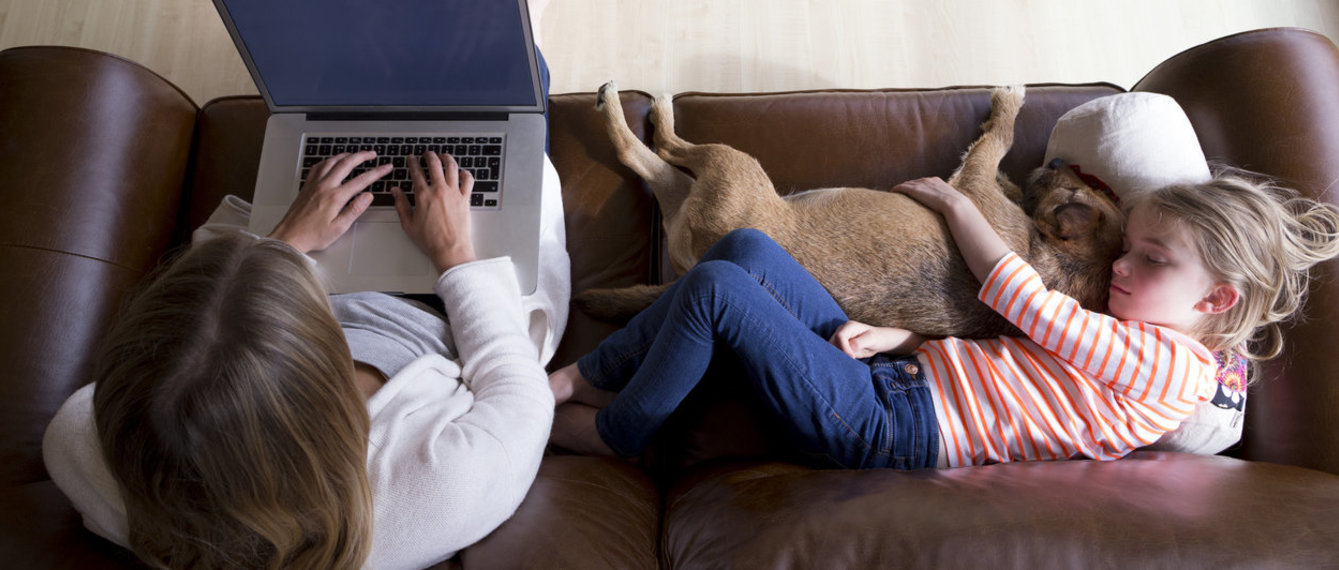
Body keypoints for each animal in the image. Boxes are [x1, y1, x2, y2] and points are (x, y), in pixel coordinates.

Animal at [581, 84, 1124, 338]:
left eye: (1076, 188)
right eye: (1095, 186)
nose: (1056, 161)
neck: (1054, 262)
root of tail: (697, 262)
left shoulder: (970, 186)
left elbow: (997, 140)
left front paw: (1006, 106)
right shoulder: (980, 185)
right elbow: (996, 155)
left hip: (730, 167)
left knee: (655, 148)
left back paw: (636, 106)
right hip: (696, 188)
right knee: (651, 157)